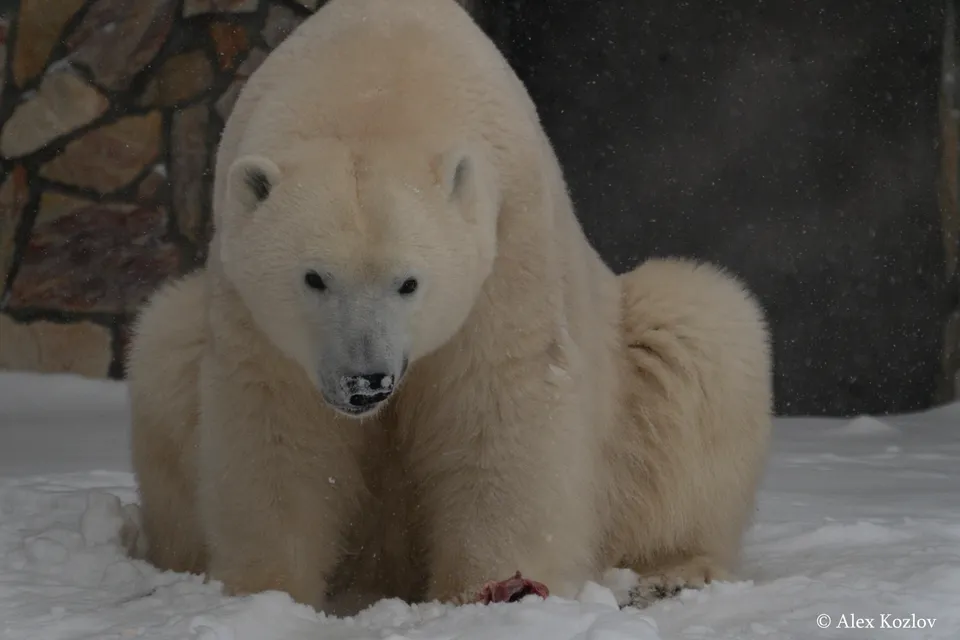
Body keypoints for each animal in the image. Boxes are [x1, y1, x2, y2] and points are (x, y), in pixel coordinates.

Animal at [125, 0, 772, 614]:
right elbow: (276, 425)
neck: (376, 82)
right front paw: (267, 592)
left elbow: (499, 402)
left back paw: (672, 572)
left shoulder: (508, 244)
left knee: (699, 330)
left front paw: (492, 587)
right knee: (162, 348)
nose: (366, 382)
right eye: (314, 278)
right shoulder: (248, 302)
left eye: (409, 282)